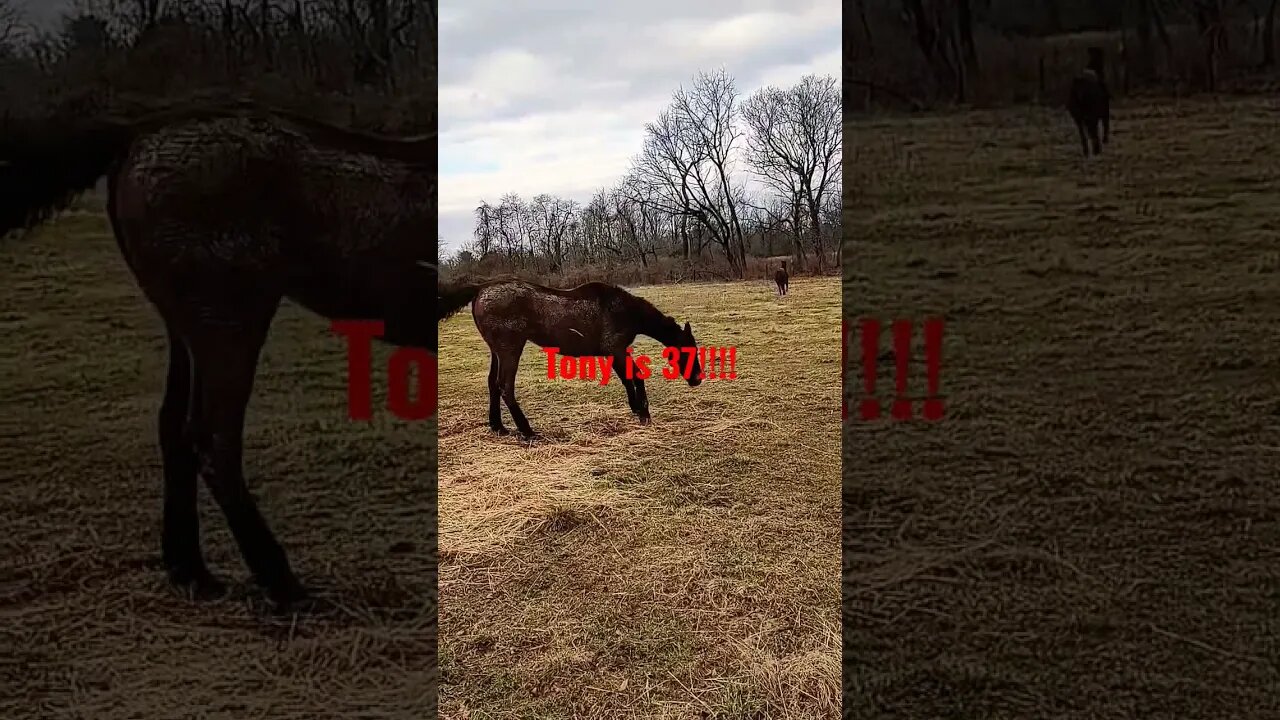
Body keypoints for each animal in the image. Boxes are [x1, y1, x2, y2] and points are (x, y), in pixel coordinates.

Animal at [1, 98, 440, 607]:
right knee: (213, 440)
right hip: (230, 320)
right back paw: (280, 581)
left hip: (188, 330)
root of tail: (137, 131)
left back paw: (191, 570)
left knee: (173, 428)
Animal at [437, 278, 701, 438]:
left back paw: (498, 426)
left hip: (496, 351)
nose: (697, 379)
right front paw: (644, 413)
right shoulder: (616, 349)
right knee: (505, 387)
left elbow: (627, 379)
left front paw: (636, 409)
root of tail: (481, 288)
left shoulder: (612, 353)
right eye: (690, 350)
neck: (624, 310)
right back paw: (527, 431)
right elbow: (635, 376)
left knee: (493, 384)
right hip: (510, 349)